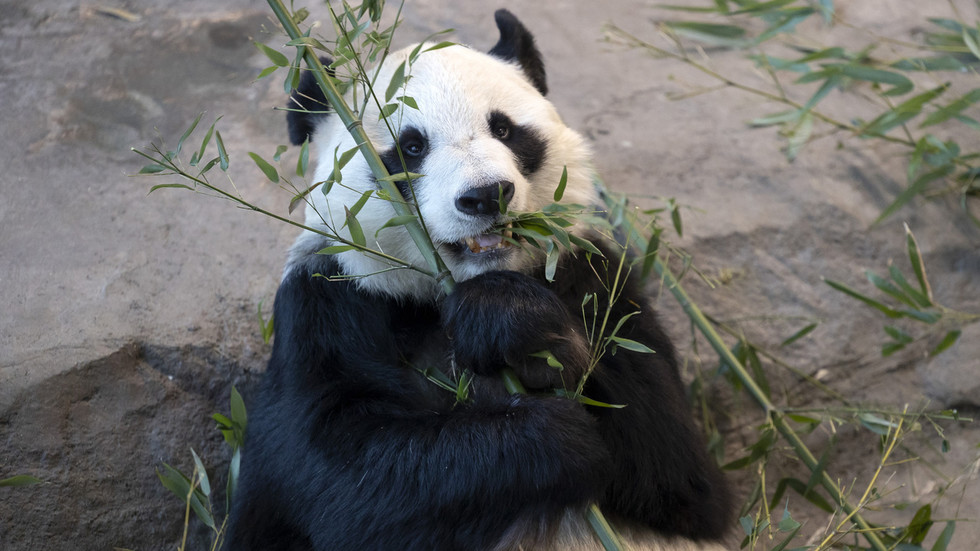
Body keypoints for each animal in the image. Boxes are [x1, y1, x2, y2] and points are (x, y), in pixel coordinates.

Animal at [228, 8, 728, 551]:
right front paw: (547, 436)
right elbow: (338, 474)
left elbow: (676, 469)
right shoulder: (328, 302)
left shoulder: (590, 275)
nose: (486, 195)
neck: (455, 287)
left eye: (505, 129)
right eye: (411, 147)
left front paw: (515, 326)